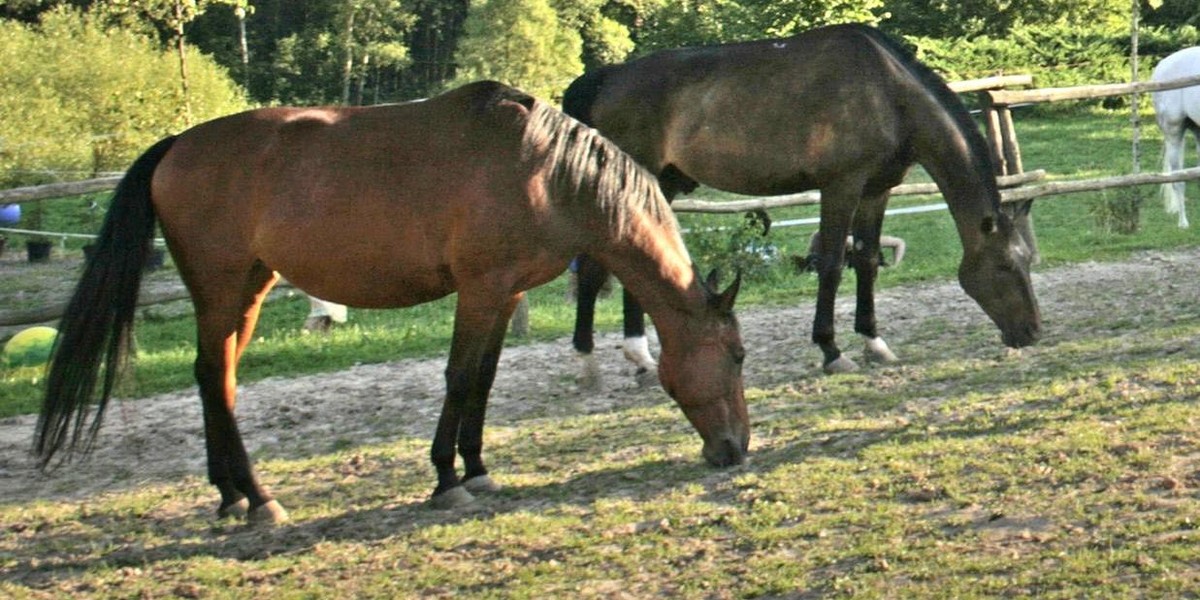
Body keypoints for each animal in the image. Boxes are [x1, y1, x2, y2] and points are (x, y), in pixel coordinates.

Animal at [32, 81, 744, 525]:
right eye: (736, 356)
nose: (737, 449)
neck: (544, 172)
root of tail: (176, 145)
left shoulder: (504, 291)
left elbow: (484, 381)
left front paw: (477, 468)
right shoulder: (480, 289)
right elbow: (459, 377)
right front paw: (447, 481)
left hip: (248, 288)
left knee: (219, 380)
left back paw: (230, 495)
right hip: (218, 286)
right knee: (213, 375)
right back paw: (258, 500)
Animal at [561, 25, 1041, 376]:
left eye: (1026, 260)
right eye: (1003, 266)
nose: (1032, 332)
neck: (888, 93)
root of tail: (607, 79)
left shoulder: (876, 189)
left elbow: (867, 260)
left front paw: (874, 342)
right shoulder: (841, 186)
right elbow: (831, 264)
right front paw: (831, 350)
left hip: (664, 184)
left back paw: (642, 356)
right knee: (594, 268)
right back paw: (589, 362)